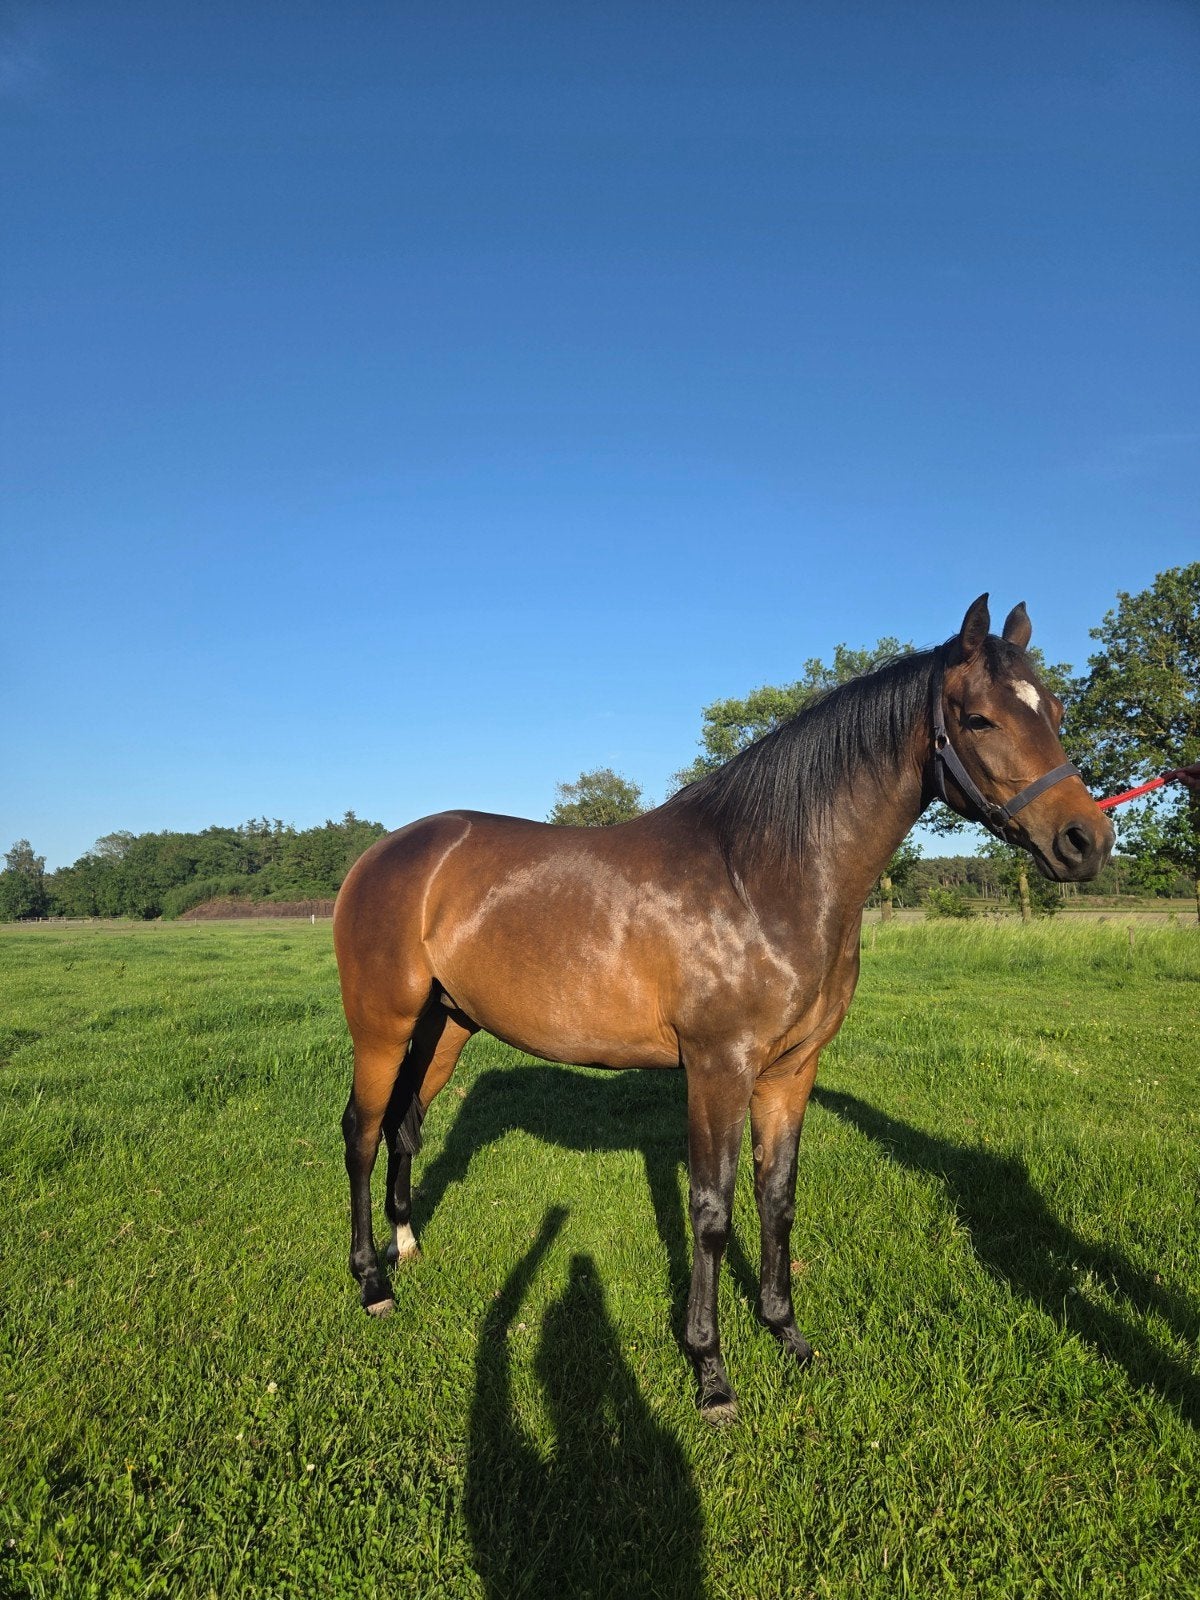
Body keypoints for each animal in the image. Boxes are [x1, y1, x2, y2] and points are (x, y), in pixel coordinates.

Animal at [333, 595, 1114, 1420]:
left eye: (1055, 711)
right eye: (979, 720)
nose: (1086, 840)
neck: (764, 875)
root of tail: (389, 851)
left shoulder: (791, 1069)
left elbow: (777, 1197)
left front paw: (786, 1332)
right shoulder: (717, 1068)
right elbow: (711, 1212)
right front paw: (710, 1372)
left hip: (447, 1025)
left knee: (406, 1124)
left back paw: (407, 1244)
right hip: (381, 1026)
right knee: (362, 1132)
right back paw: (372, 1281)